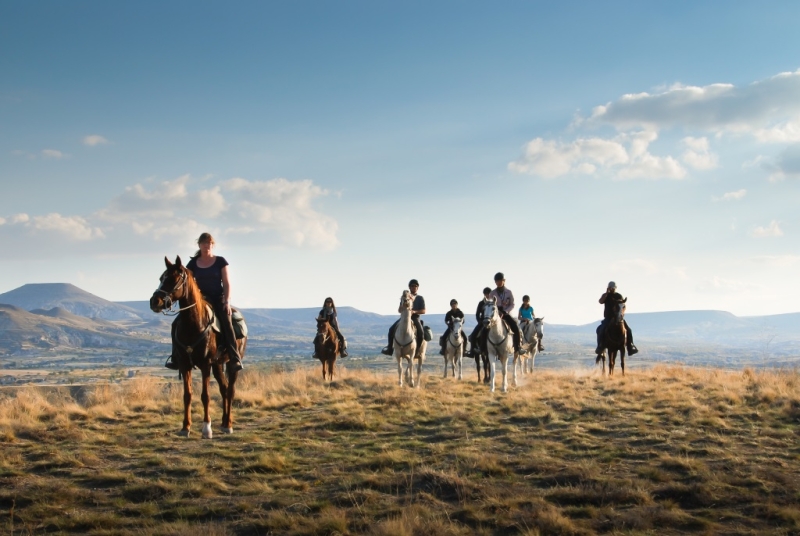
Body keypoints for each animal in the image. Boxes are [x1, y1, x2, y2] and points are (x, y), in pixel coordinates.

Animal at [150, 258, 247, 438]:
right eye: (161, 278)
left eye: (174, 279)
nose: (154, 302)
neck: (193, 324)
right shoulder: (184, 364)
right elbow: (187, 395)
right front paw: (185, 427)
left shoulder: (205, 364)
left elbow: (205, 396)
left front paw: (207, 428)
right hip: (217, 364)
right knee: (224, 389)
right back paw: (223, 423)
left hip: (230, 364)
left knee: (230, 390)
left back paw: (229, 424)